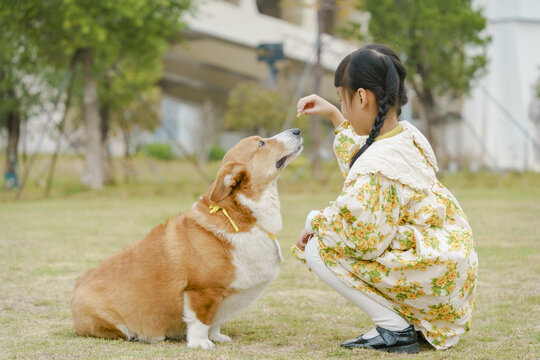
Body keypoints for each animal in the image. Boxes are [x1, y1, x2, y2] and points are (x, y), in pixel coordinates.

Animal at [69, 128, 302, 348]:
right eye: (261, 143)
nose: (297, 130)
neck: (241, 213)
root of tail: (75, 292)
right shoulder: (201, 291)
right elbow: (200, 320)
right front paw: (200, 343)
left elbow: (215, 323)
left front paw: (217, 337)